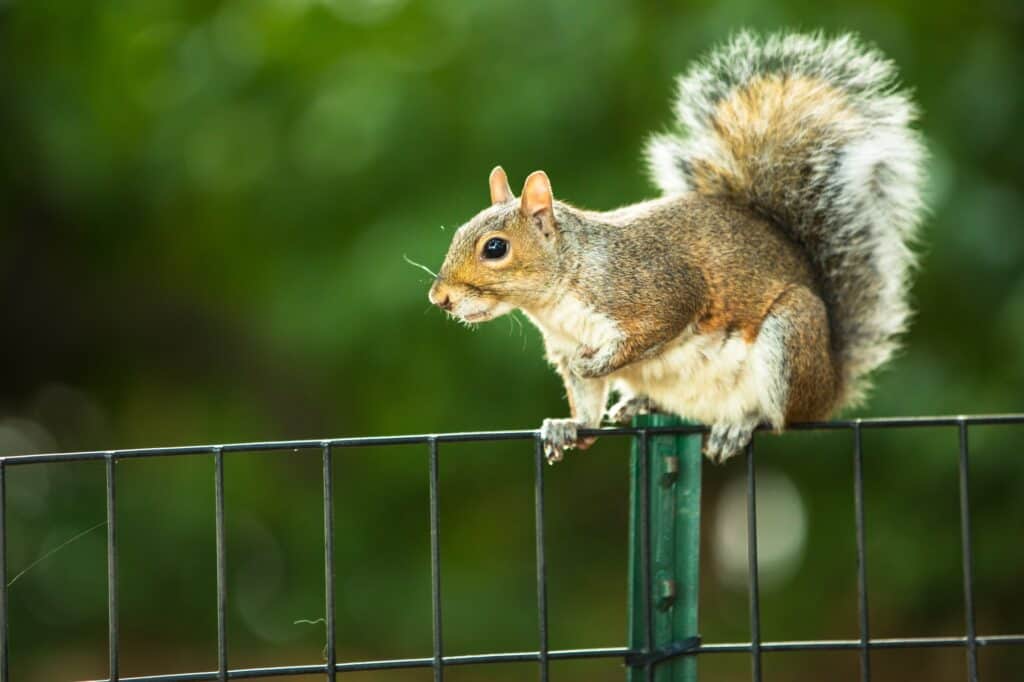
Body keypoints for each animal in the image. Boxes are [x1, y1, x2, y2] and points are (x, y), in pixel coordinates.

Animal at [428, 33, 925, 466]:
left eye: (495, 248)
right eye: (458, 233)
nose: (440, 298)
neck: (562, 294)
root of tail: (830, 384)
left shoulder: (657, 289)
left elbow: (654, 328)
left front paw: (600, 364)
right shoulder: (564, 349)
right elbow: (585, 404)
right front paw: (568, 425)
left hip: (790, 337)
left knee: (781, 417)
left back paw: (742, 423)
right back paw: (638, 404)